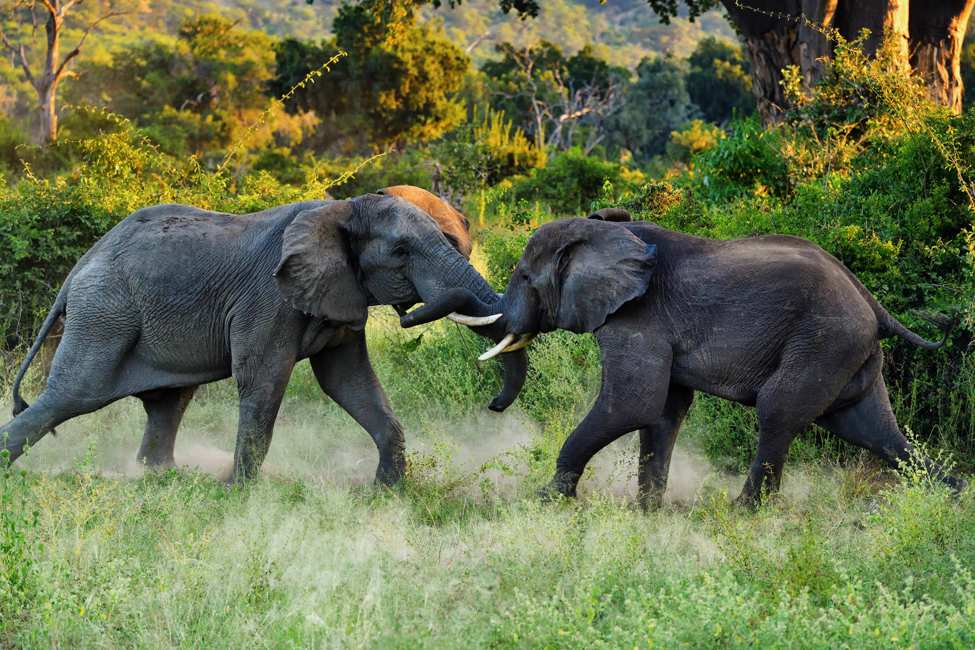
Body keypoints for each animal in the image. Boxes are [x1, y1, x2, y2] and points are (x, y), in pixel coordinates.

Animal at [1, 187, 526, 484]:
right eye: (400, 252)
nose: (495, 406)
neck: (340, 210)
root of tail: (79, 266)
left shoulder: (340, 294)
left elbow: (349, 382)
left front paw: (388, 490)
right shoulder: (268, 300)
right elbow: (265, 380)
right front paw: (239, 492)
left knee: (169, 402)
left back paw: (162, 479)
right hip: (105, 312)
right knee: (73, 393)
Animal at [410, 209, 966, 507]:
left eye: (524, 277)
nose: (493, 407)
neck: (603, 230)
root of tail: (873, 302)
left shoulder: (640, 318)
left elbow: (632, 403)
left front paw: (549, 501)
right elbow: (661, 413)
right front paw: (647, 513)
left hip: (824, 340)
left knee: (779, 411)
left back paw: (742, 512)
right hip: (848, 351)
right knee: (871, 428)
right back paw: (954, 494)